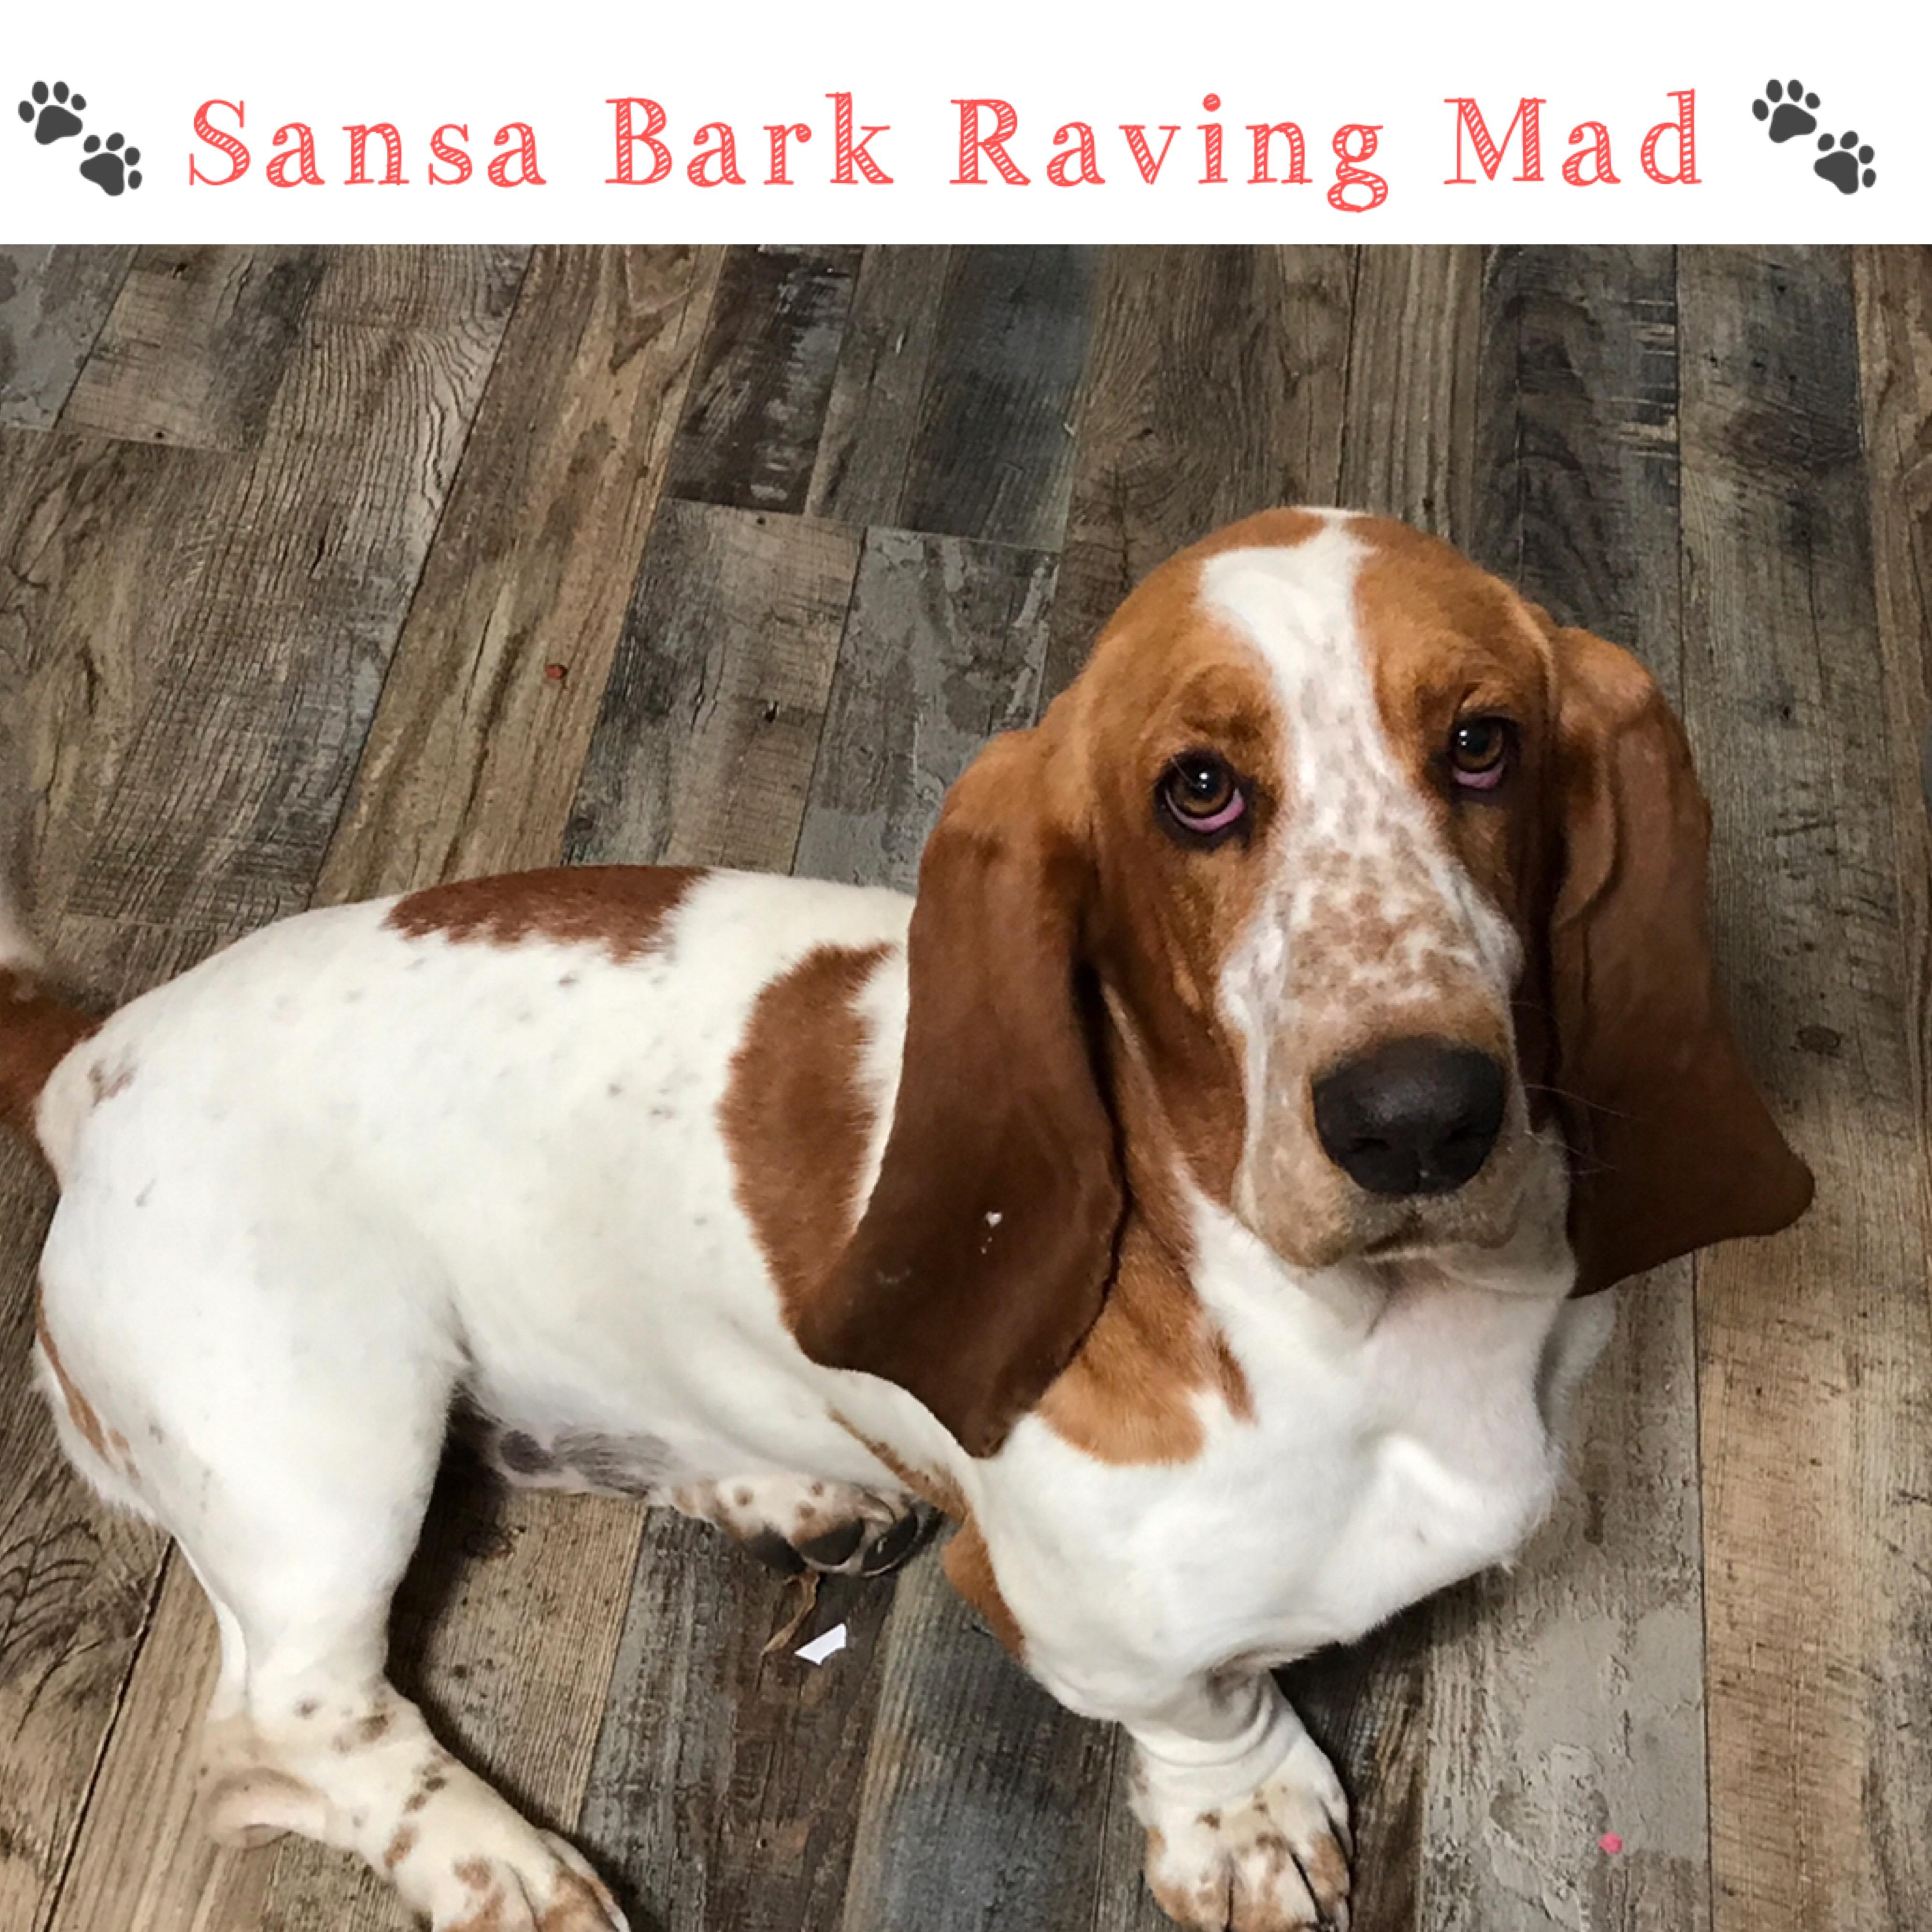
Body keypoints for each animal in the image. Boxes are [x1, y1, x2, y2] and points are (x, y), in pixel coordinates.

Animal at [4, 508, 1812, 1932]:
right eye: (1199, 792)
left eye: (1484, 743)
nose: (1418, 1116)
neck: (1358, 1341)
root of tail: (98, 1056)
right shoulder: (1085, 1623)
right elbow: (1202, 1704)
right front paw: (1246, 1818)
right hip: (325, 1435)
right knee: (293, 1713)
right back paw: (501, 1866)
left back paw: (779, 1489)